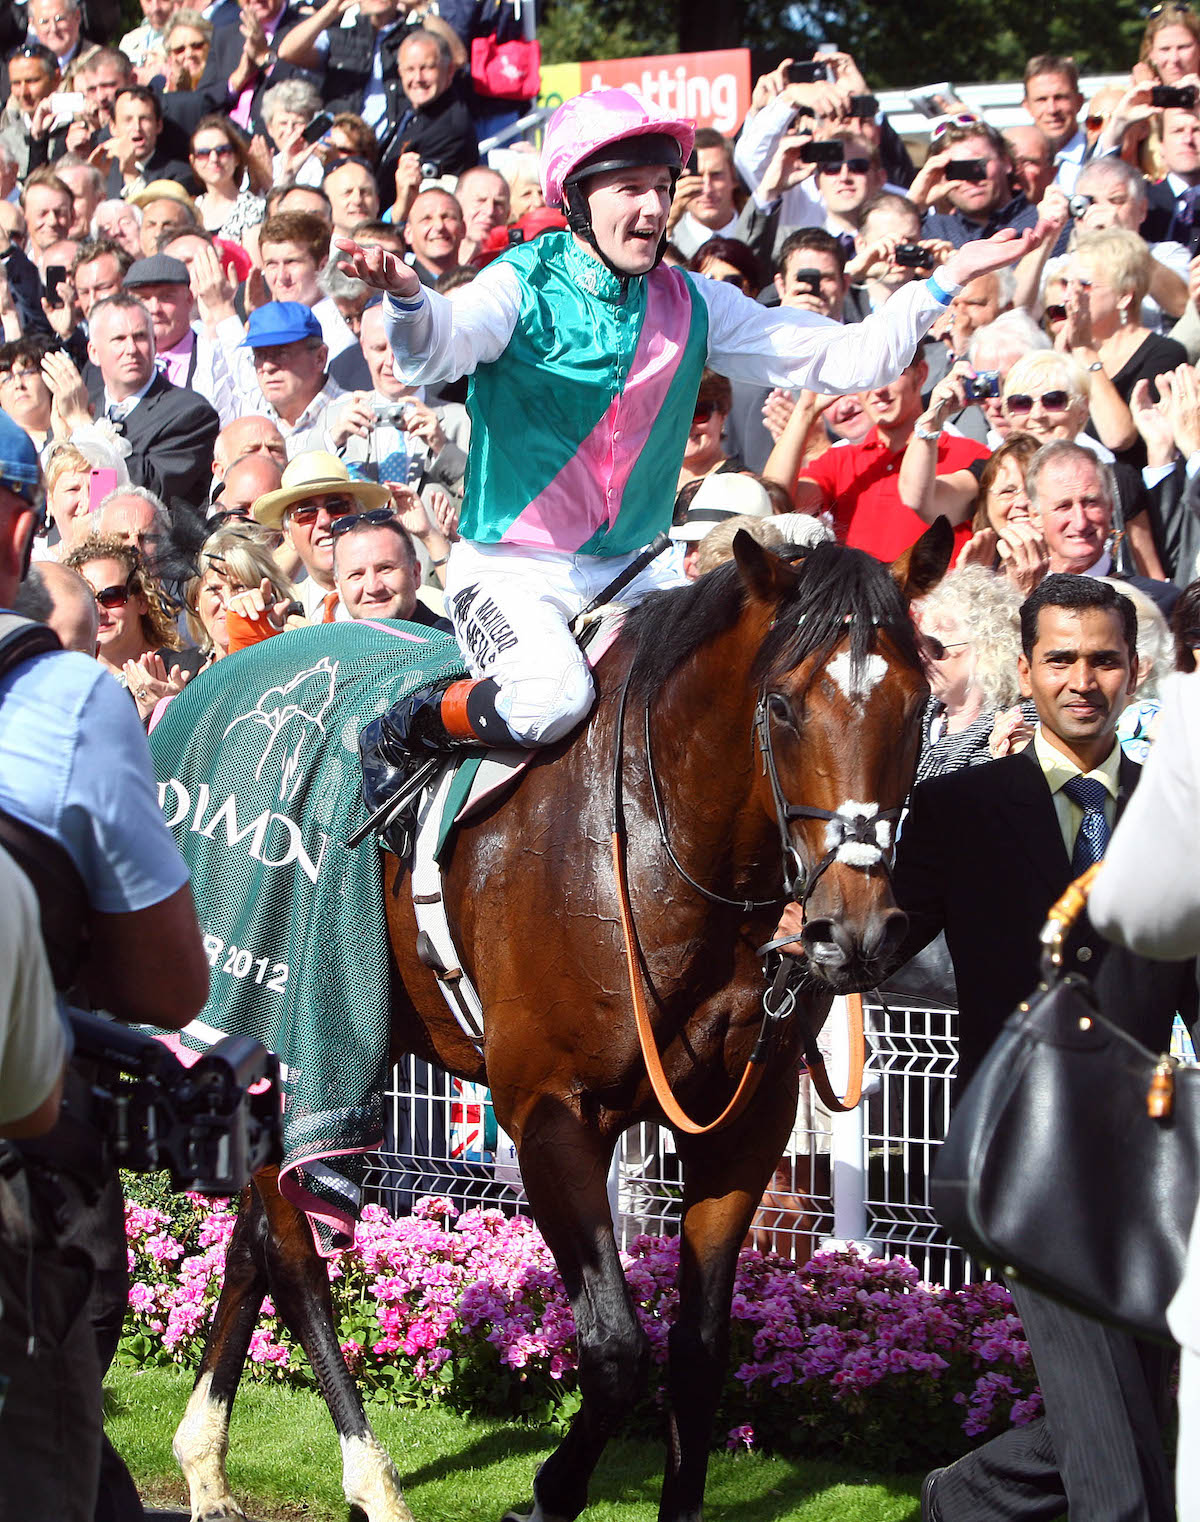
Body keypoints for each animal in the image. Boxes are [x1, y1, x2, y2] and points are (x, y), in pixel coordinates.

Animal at [169, 526, 950, 1522]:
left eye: (919, 706)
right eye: (779, 705)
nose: (856, 932)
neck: (659, 845)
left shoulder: (747, 1120)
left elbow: (699, 1350)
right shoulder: (550, 1110)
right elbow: (617, 1351)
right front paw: (544, 1495)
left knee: (254, 1244)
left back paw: (206, 1462)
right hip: (290, 1015)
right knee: (294, 1255)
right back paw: (371, 1478)